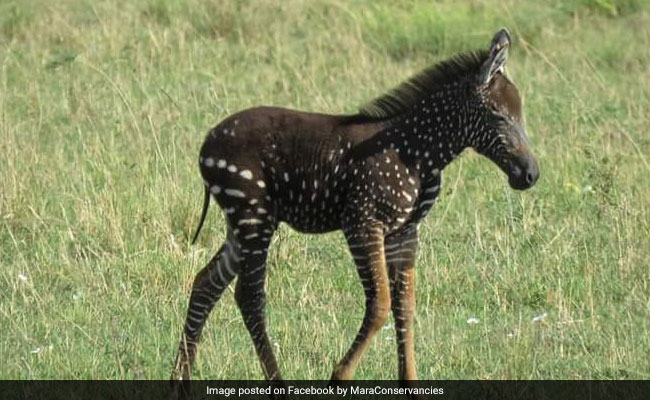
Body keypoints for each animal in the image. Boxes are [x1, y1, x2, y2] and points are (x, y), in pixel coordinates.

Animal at [171, 28, 539, 390]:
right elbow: (380, 305)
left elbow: (405, 306)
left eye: (521, 115)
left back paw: (180, 380)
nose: (531, 175)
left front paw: (409, 382)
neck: (418, 153)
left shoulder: (405, 231)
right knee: (249, 297)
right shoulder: (362, 223)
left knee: (205, 284)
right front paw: (340, 377)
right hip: (253, 215)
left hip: (244, 223)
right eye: (499, 116)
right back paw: (278, 385)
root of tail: (206, 143)